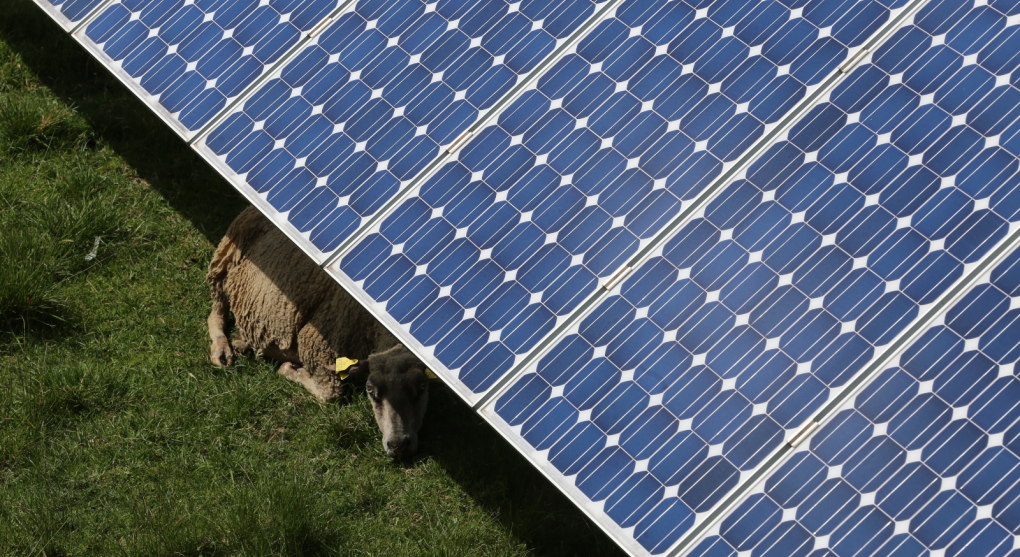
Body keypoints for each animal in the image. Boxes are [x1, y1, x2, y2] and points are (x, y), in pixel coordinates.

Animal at [207, 204, 430, 454]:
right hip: (224, 260)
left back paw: (242, 341)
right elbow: (330, 396)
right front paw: (289, 369)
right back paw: (222, 350)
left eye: (422, 387)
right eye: (371, 390)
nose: (399, 445)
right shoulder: (315, 344)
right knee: (215, 313)